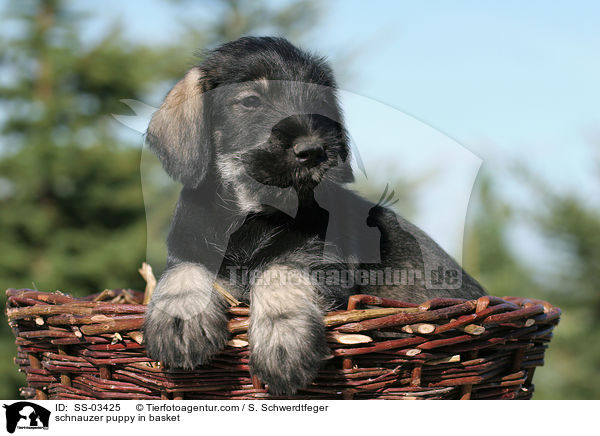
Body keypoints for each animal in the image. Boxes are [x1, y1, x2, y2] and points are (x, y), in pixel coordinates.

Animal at [142, 35, 488, 394]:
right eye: (250, 101)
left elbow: (279, 271)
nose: (312, 151)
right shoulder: (188, 248)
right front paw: (179, 319)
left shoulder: (324, 265)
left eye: (319, 103)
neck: (255, 216)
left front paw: (283, 342)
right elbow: (184, 270)